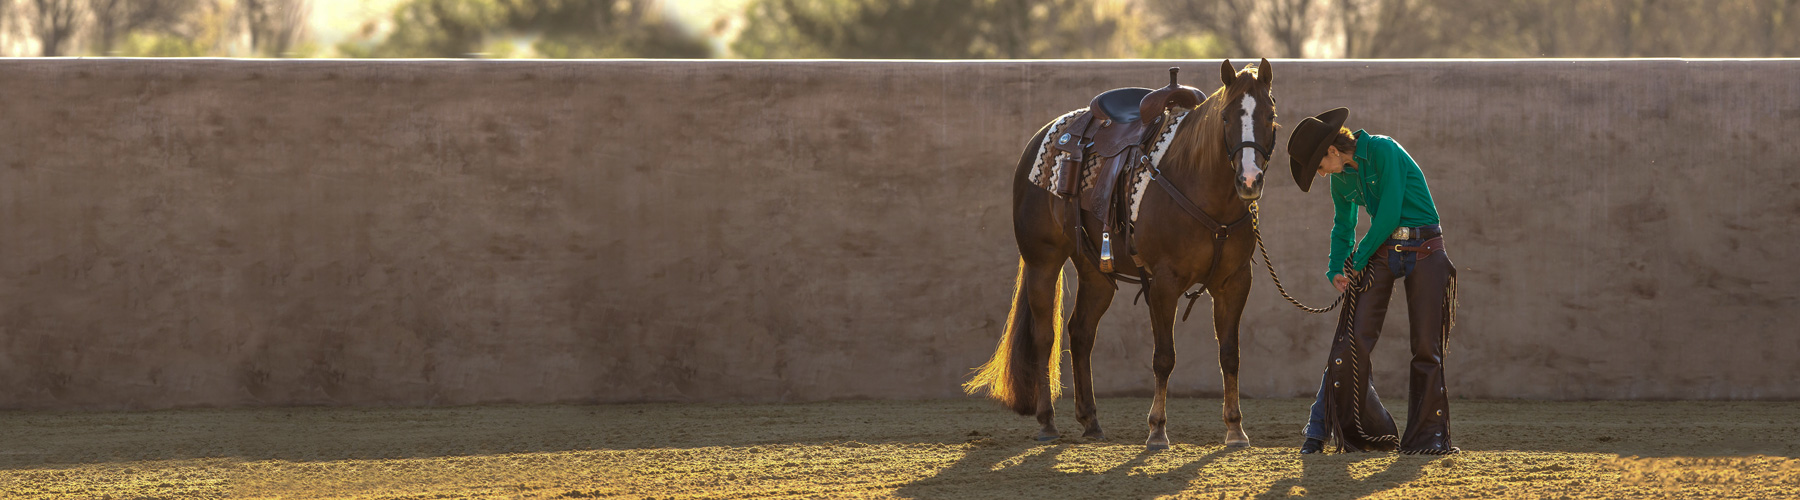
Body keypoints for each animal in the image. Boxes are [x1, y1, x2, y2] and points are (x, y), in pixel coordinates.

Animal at [965, 59, 1279, 450]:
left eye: (1270, 115)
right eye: (1225, 117)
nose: (1249, 180)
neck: (1197, 184)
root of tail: (1042, 137)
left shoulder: (1234, 283)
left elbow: (1230, 355)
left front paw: (1235, 429)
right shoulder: (1163, 283)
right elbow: (1164, 357)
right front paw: (1157, 430)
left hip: (1095, 272)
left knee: (1081, 333)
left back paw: (1091, 421)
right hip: (1043, 262)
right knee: (1044, 336)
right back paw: (1047, 422)